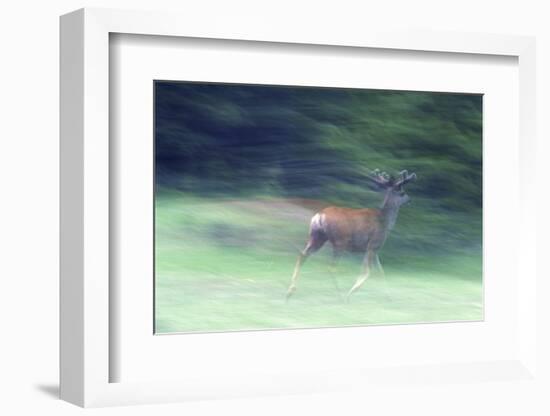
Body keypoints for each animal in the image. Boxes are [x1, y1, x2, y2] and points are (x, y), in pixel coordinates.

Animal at [286, 169, 420, 302]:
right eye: (402, 192)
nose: (410, 200)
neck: (385, 221)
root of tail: (319, 216)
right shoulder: (373, 244)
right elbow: (368, 271)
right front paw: (352, 291)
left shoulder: (375, 249)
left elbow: (381, 271)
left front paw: (389, 296)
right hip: (340, 241)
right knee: (331, 267)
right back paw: (342, 296)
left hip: (317, 237)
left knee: (302, 255)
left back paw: (290, 291)